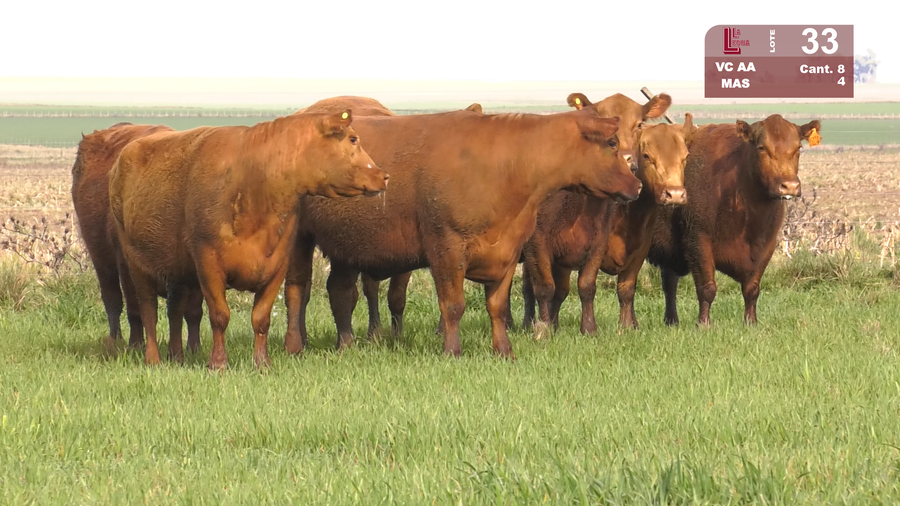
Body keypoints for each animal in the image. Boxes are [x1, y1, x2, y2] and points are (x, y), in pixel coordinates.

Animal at [71, 122, 204, 360]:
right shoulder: (127, 265)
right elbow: (135, 309)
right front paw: (135, 345)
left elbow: (193, 311)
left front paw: (194, 348)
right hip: (101, 260)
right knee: (113, 300)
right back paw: (116, 341)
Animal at [108, 110, 388, 369]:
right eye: (353, 139)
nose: (383, 176)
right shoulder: (208, 261)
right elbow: (219, 316)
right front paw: (218, 364)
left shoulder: (278, 263)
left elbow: (261, 318)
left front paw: (262, 363)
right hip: (136, 261)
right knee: (148, 310)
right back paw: (153, 359)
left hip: (177, 269)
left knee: (174, 310)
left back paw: (176, 357)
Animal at [283, 107, 643, 360]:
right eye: (612, 143)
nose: (638, 184)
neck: (508, 167)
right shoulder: (447, 247)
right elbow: (453, 305)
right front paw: (452, 351)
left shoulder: (509, 249)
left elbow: (497, 306)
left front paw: (504, 350)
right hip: (299, 238)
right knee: (297, 290)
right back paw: (295, 346)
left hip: (346, 244)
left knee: (341, 292)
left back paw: (346, 344)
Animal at [522, 115, 695, 333]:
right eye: (647, 156)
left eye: (685, 157)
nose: (675, 194)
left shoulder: (639, 250)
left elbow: (626, 289)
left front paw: (628, 327)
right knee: (528, 287)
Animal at [646, 114, 821, 326]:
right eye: (761, 147)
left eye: (799, 148)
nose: (789, 186)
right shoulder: (698, 240)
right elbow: (707, 288)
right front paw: (703, 324)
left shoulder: (767, 246)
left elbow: (752, 289)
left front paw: (751, 322)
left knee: (669, 283)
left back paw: (671, 321)